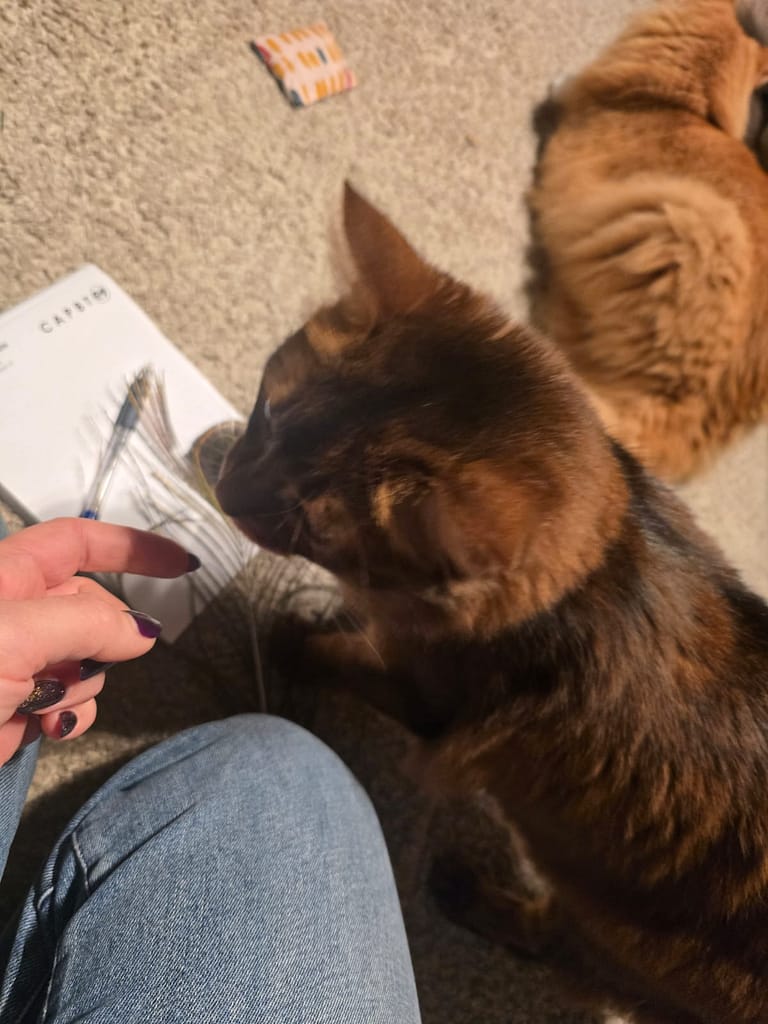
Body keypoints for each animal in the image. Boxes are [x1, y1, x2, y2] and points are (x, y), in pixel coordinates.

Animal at [216, 184, 768, 1023]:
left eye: (313, 523)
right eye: (266, 411)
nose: (222, 490)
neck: (598, 570)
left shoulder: (432, 703)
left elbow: (331, 652)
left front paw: (292, 640)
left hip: (626, 941)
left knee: (552, 942)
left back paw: (467, 892)